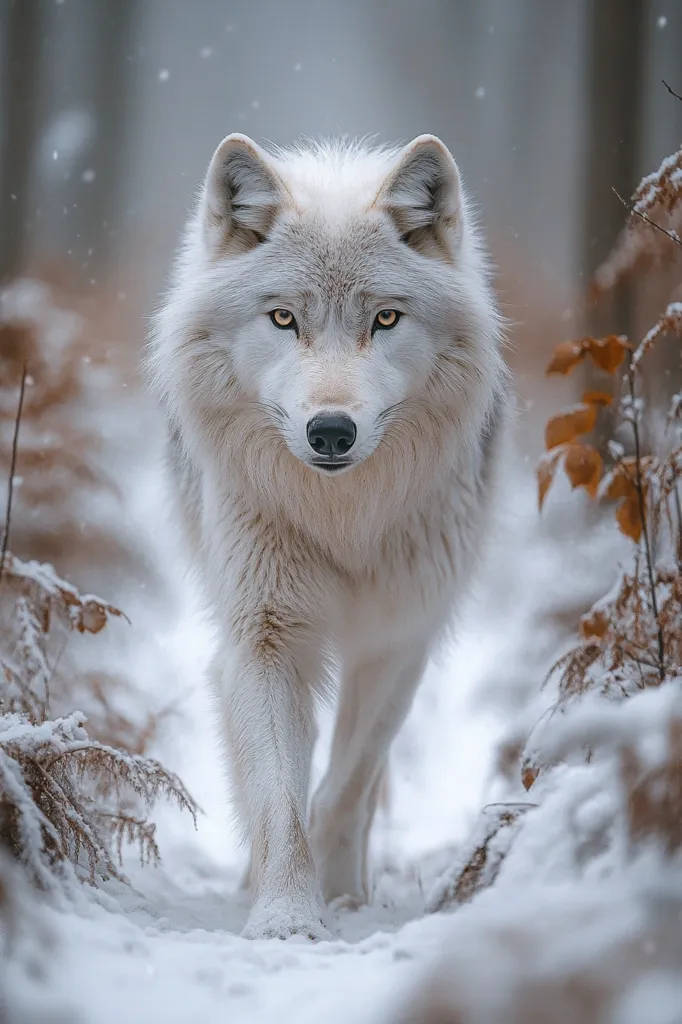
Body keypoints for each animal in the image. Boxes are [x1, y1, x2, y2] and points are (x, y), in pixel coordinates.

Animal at [149, 132, 509, 940]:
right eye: (285, 319)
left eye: (386, 320)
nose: (331, 431)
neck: (343, 517)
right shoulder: (266, 636)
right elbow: (282, 798)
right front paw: (285, 915)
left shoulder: (398, 640)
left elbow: (346, 785)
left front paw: (342, 898)